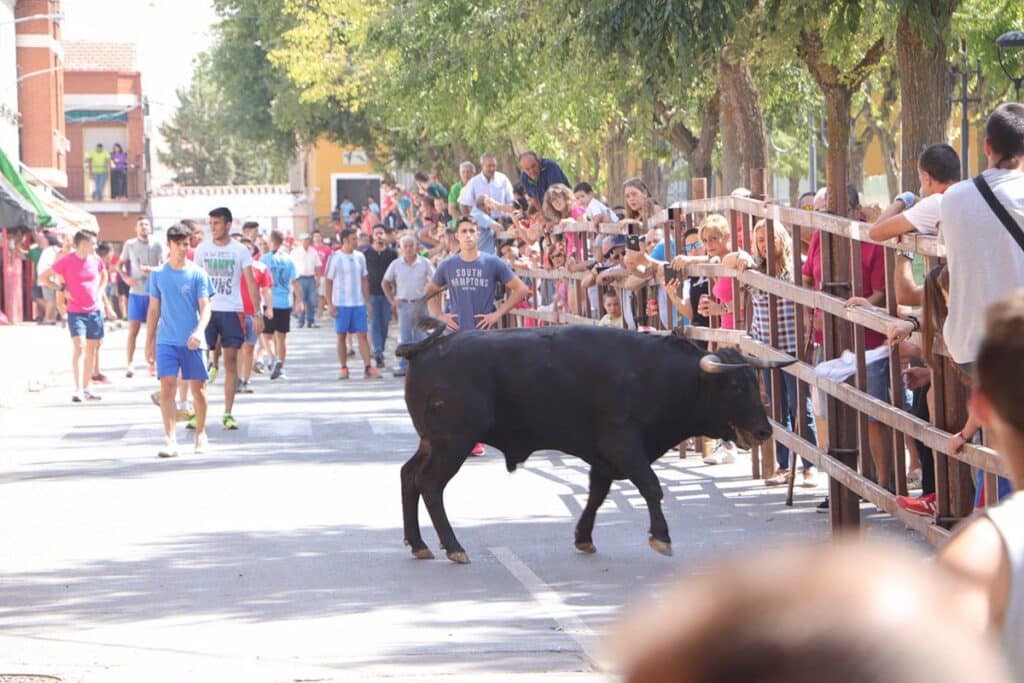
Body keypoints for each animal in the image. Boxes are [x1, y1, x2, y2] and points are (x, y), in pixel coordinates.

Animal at [395, 323, 778, 565]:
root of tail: (422, 350)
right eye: (735, 387)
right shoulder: (623, 444)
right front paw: (662, 537)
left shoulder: (603, 456)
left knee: (408, 476)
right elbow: (651, 486)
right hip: (453, 443)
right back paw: (453, 547)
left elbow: (597, 493)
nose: (764, 430)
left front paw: (584, 537)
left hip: (432, 443)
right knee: (430, 484)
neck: (651, 373)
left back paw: (418, 544)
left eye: (753, 380)